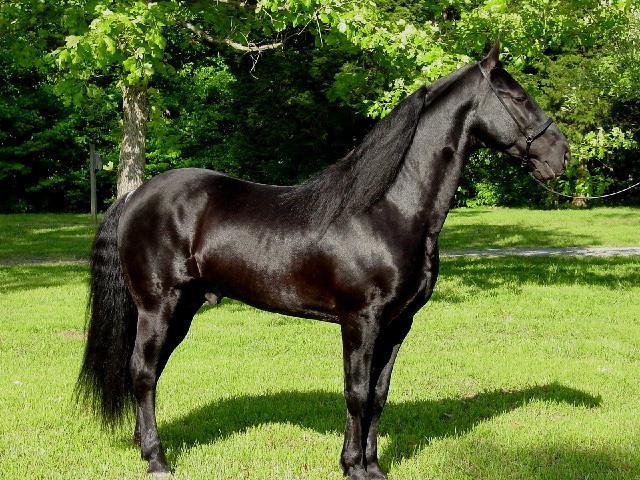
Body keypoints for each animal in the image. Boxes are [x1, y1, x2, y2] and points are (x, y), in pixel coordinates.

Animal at [78, 44, 569, 479]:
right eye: (517, 97)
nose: (560, 153)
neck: (389, 210)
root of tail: (136, 196)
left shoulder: (398, 325)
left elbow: (379, 396)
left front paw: (374, 467)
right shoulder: (361, 321)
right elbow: (356, 394)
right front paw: (352, 467)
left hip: (182, 310)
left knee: (149, 373)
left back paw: (145, 449)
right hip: (158, 307)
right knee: (143, 374)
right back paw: (158, 461)